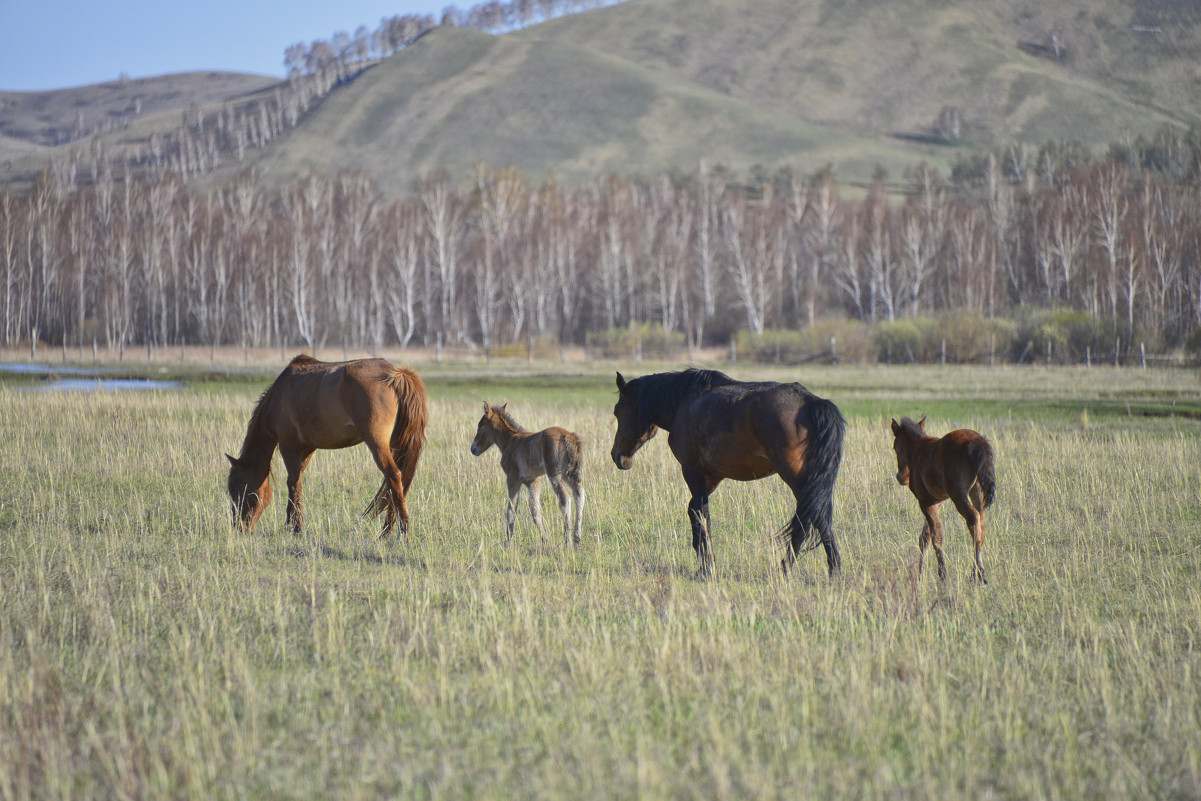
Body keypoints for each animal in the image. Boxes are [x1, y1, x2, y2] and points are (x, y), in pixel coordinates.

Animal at [226, 355, 429, 538]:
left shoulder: (288, 446)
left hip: (377, 444)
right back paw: (388, 530)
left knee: (393, 477)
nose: (239, 528)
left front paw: (296, 528)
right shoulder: (306, 449)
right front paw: (291, 524)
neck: (279, 396)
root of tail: (395, 374)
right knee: (395, 484)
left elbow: (293, 483)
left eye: (235, 488)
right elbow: (297, 482)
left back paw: (399, 533)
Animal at [465, 401, 583, 545]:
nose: (473, 449)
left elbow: (511, 510)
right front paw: (545, 540)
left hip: (554, 474)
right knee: (579, 494)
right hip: (567, 474)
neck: (510, 440)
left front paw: (508, 542)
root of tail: (568, 436)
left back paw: (568, 542)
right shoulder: (533, 481)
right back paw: (577, 539)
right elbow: (535, 510)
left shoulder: (513, 478)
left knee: (565, 499)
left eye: (480, 425)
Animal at [610, 369, 845, 576]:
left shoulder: (692, 471)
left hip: (799, 481)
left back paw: (802, 568)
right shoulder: (712, 476)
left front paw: (707, 566)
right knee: (815, 520)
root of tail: (812, 403)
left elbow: (702, 515)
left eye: (617, 411)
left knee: (813, 521)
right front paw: (703, 559)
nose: (617, 456)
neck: (685, 402)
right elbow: (694, 511)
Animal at [893, 420, 994, 583]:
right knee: (981, 524)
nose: (901, 477)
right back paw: (976, 571)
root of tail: (977, 442)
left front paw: (942, 573)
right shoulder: (937, 502)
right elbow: (925, 537)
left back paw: (978, 573)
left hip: (959, 494)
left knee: (973, 518)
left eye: (895, 447)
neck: (917, 450)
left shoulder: (925, 502)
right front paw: (920, 574)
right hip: (977, 492)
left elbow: (936, 536)